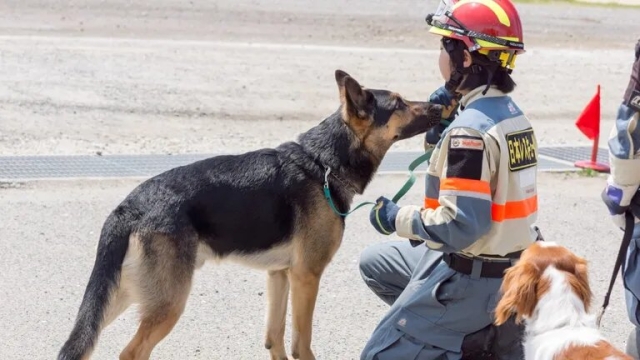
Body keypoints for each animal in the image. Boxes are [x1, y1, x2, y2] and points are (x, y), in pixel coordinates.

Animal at [58, 69, 450, 360]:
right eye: (398, 103)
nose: (439, 106)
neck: (323, 161)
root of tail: (130, 205)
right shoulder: (306, 277)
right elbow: (300, 344)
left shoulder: (280, 275)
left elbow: (275, 339)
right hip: (167, 301)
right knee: (131, 352)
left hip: (122, 294)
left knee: (79, 344)